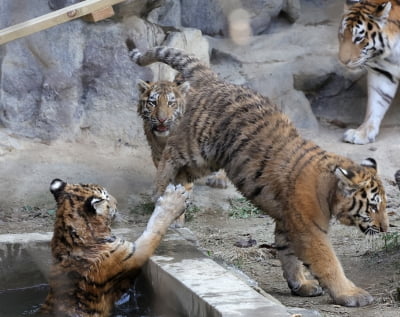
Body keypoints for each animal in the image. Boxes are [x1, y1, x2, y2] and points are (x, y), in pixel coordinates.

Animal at [126, 43, 390, 304]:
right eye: (372, 207)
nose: (386, 229)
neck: (329, 192)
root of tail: (217, 81)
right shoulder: (310, 230)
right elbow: (329, 263)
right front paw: (352, 294)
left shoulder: (287, 221)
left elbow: (287, 253)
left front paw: (300, 284)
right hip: (196, 146)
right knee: (169, 152)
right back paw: (160, 192)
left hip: (208, 160)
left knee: (182, 172)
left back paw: (177, 198)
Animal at [340, 0, 398, 143]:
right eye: (342, 35)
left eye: (358, 38)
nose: (343, 61)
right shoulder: (383, 72)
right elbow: (377, 102)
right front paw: (362, 133)